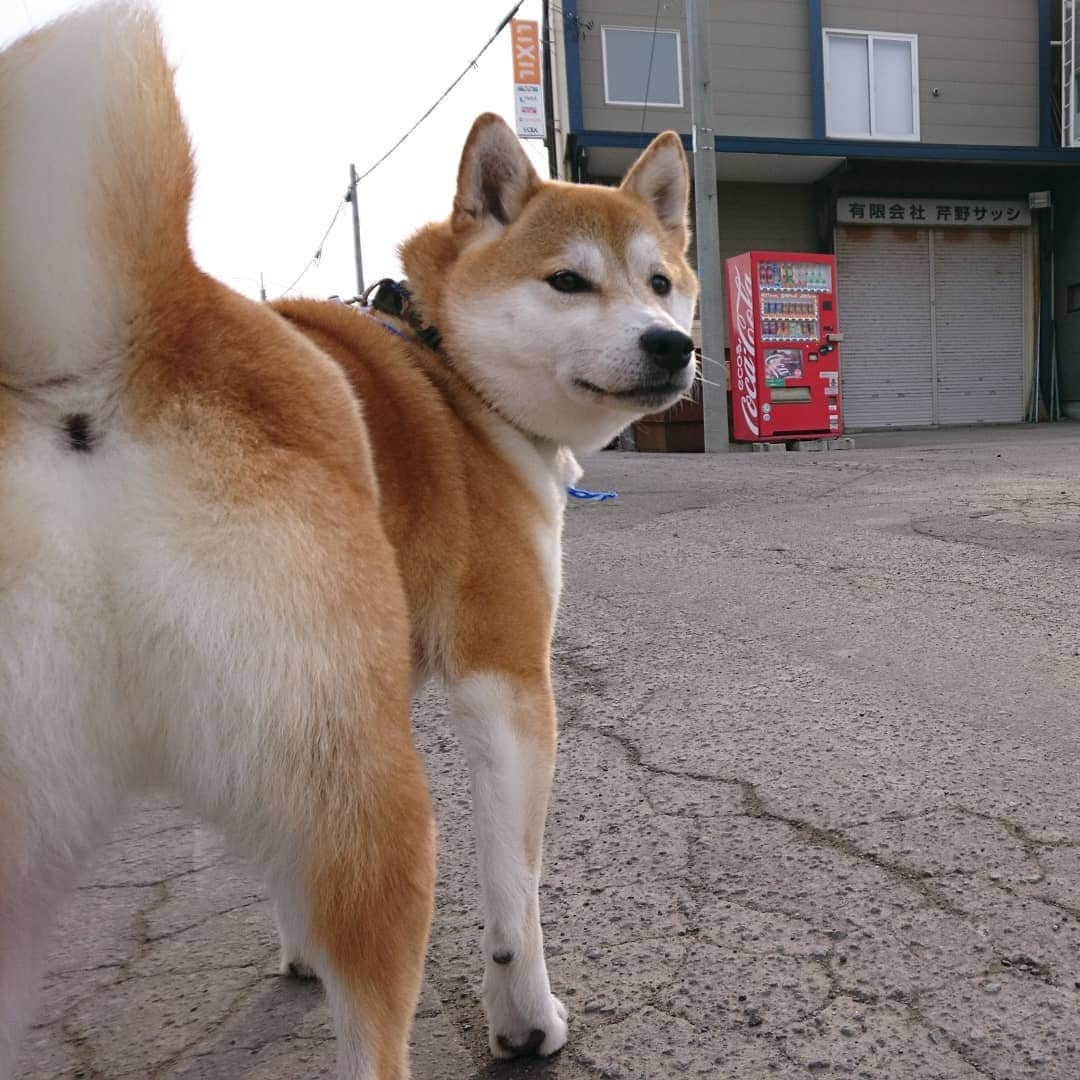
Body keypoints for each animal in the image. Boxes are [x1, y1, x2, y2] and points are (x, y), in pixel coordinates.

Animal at [0, 4, 691, 1075]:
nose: (673, 342)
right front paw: (525, 1019)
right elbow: (517, 899)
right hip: (379, 793)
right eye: (569, 282)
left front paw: (298, 954)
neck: (451, 370)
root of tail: (102, 367)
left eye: (660, 281)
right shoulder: (504, 679)